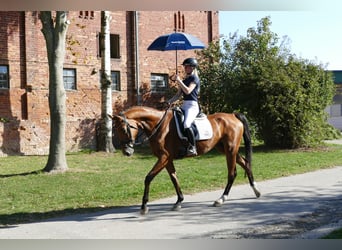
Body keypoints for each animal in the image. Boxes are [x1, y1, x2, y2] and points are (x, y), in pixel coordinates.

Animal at [111, 106, 260, 215]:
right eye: (115, 130)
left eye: (124, 129)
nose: (127, 152)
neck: (158, 125)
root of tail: (232, 115)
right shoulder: (167, 159)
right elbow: (174, 178)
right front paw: (179, 201)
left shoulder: (164, 157)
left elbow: (148, 178)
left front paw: (144, 206)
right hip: (225, 149)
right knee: (245, 163)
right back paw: (256, 191)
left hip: (230, 150)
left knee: (232, 173)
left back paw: (221, 199)